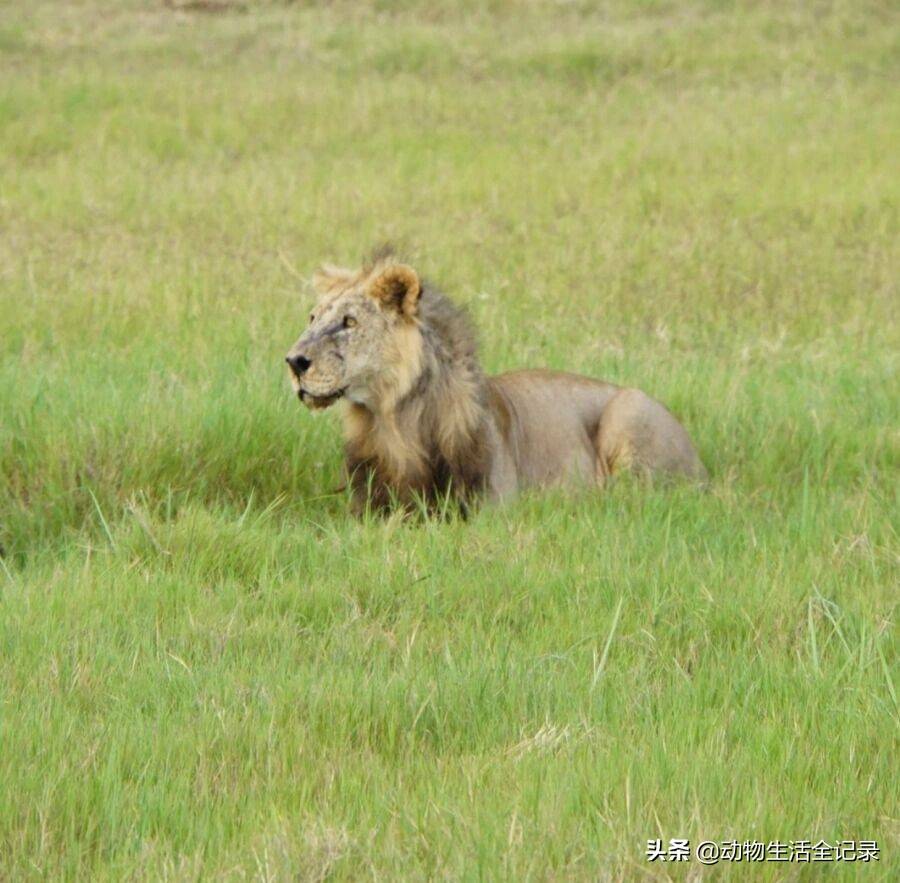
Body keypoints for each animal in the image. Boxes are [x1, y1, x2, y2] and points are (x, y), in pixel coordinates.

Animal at [284, 249, 708, 516]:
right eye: (312, 318)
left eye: (349, 322)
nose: (293, 361)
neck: (393, 421)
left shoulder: (490, 507)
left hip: (630, 411)